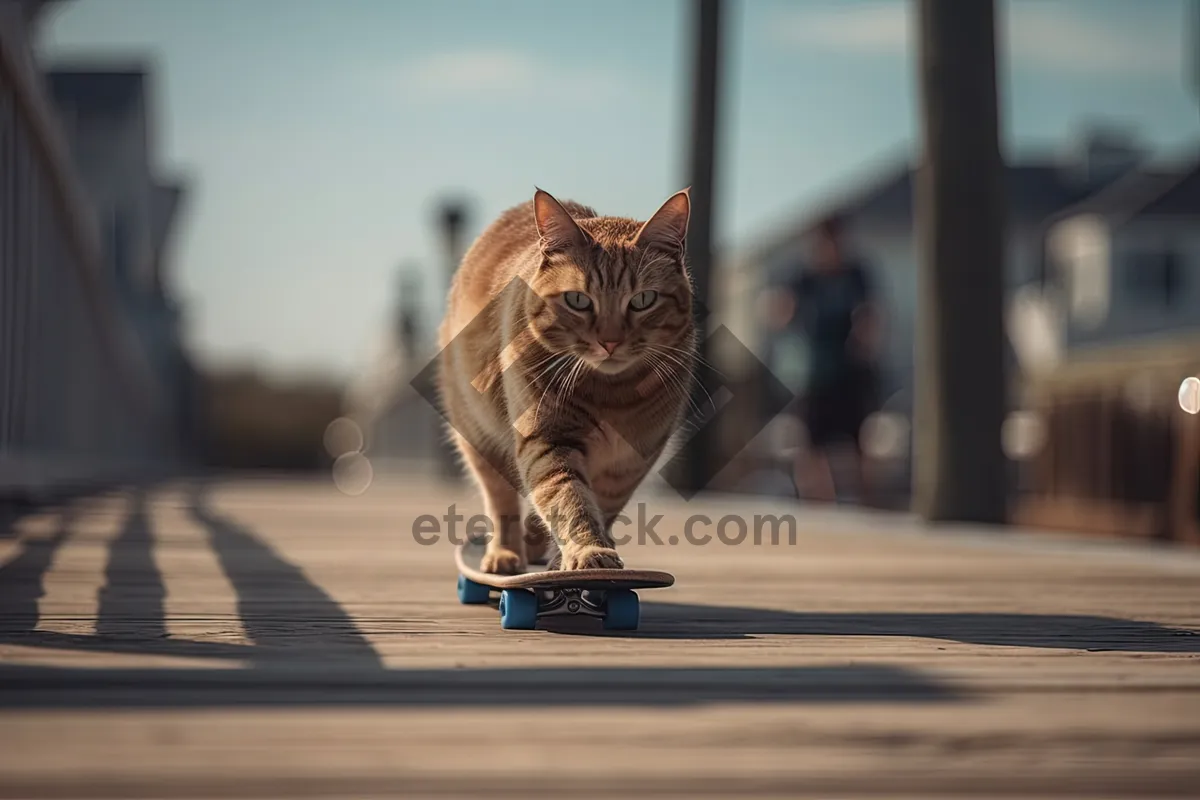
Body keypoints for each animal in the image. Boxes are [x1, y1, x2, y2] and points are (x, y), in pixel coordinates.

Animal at [434, 185, 696, 575]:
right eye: (578, 300)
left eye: (643, 300)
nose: (610, 341)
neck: (612, 395)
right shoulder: (548, 439)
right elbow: (569, 499)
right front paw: (588, 552)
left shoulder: (630, 463)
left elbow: (600, 506)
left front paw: (571, 557)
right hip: (478, 436)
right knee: (501, 499)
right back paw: (505, 553)